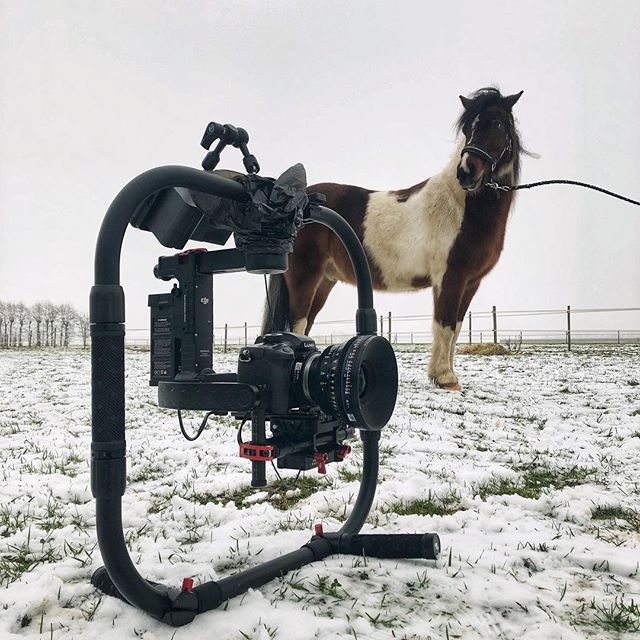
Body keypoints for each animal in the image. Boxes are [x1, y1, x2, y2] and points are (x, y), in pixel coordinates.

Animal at [262, 87, 524, 390]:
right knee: (298, 324)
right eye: (468, 128)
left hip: (324, 281)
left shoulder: (470, 283)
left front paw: (449, 375)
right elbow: (444, 326)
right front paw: (444, 378)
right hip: (305, 278)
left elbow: (456, 327)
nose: (467, 172)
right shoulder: (450, 279)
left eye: (497, 124)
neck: (461, 207)